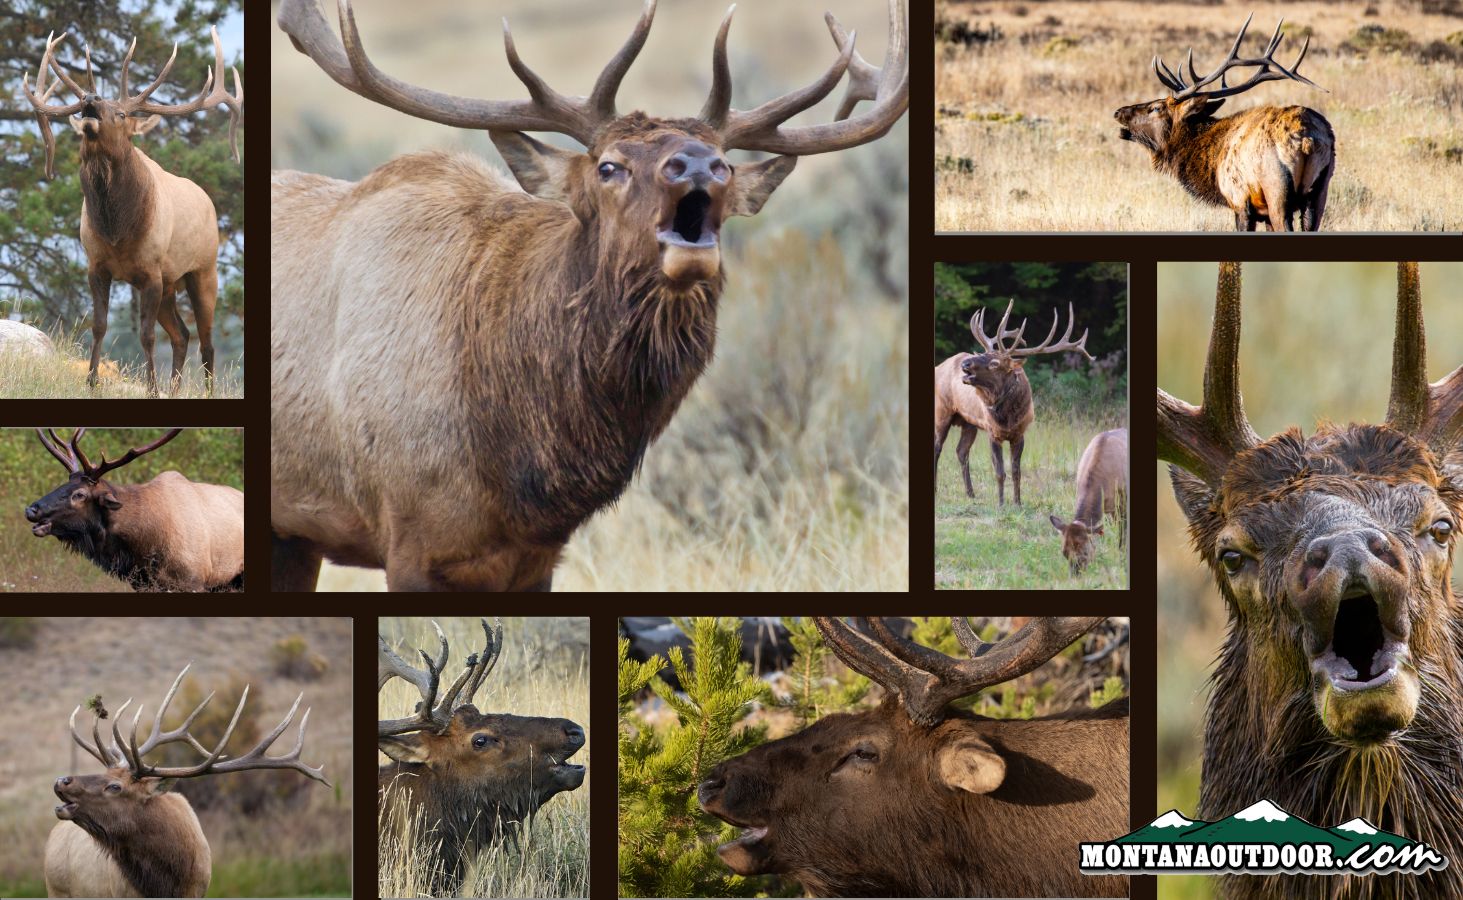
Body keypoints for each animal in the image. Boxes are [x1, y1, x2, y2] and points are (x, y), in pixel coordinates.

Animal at [21, 27, 242, 395]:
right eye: (89, 105)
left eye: (122, 114)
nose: (91, 99)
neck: (118, 230)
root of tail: (207, 200)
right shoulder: (97, 266)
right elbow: (99, 325)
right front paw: (91, 381)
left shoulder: (151, 272)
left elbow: (147, 335)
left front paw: (152, 388)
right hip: (171, 285)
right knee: (182, 335)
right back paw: (175, 390)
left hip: (203, 271)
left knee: (206, 341)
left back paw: (205, 391)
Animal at [934, 299, 1092, 504]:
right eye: (982, 353)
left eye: (995, 363)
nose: (965, 364)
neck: (1008, 417)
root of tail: (938, 367)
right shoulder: (993, 432)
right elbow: (1000, 472)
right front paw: (1001, 503)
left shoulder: (1020, 433)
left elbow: (1016, 471)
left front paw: (1017, 502)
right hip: (941, 411)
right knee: (937, 449)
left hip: (969, 422)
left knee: (961, 451)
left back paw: (971, 493)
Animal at [1114, 15, 1334, 231]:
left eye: (1156, 108)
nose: (1118, 112)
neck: (1213, 160)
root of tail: (1306, 139)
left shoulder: (1240, 200)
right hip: (1320, 191)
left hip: (1276, 190)